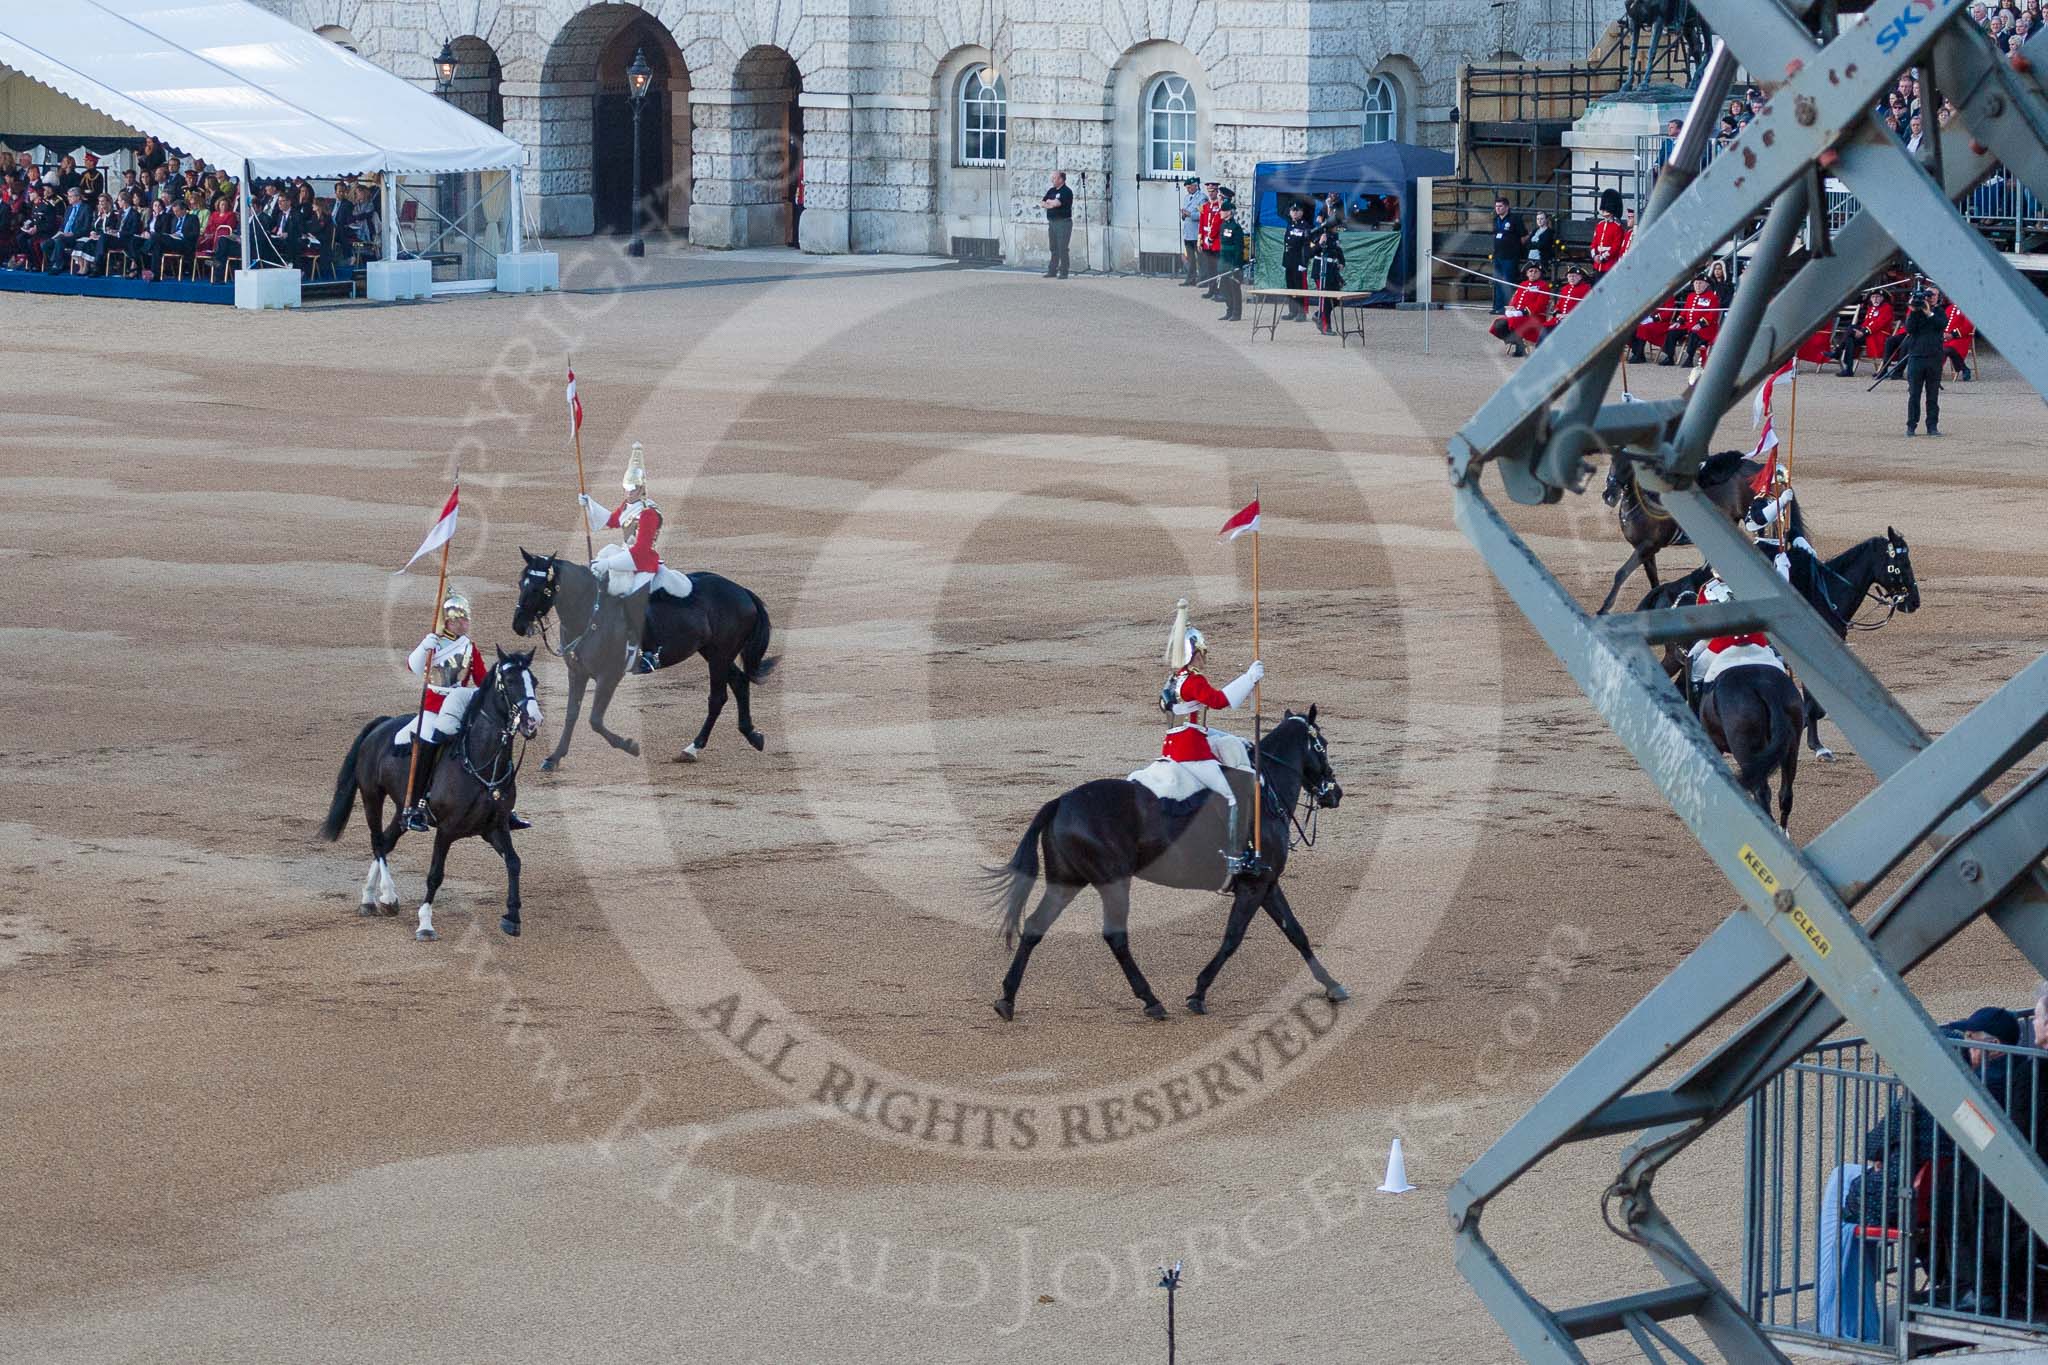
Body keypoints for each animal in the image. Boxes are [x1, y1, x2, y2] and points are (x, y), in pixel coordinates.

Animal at [319, 650, 544, 941]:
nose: (533, 721)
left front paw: (512, 917)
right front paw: (425, 924)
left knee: (386, 841)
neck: (481, 765)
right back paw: (388, 897)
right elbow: (435, 874)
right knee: (377, 841)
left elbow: (514, 862)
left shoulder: (496, 826)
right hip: (371, 796)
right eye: (510, 680)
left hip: (402, 810)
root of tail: (383, 724)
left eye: (534, 681)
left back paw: (370, 898)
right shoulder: (446, 830)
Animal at [509, 552, 774, 769]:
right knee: (739, 682)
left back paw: (693, 748)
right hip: (713, 653)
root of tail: (742, 591)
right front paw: (554, 757)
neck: (591, 612)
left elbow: (595, 720)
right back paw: (752, 735)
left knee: (717, 697)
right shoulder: (577, 673)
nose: (518, 625)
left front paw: (629, 745)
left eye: (537, 588)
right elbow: (572, 714)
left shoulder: (609, 676)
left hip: (719, 656)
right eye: (521, 583)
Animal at [987, 712, 1351, 1019]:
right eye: (1323, 744)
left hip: (1067, 881)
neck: (1266, 793)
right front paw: (1198, 993)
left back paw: (1007, 999)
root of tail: (1060, 801)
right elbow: (1233, 937)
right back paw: (1151, 1000)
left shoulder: (1267, 883)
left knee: (1035, 926)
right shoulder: (1254, 885)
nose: (1335, 793)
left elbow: (1297, 933)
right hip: (1113, 882)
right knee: (1115, 936)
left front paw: (1332, 985)